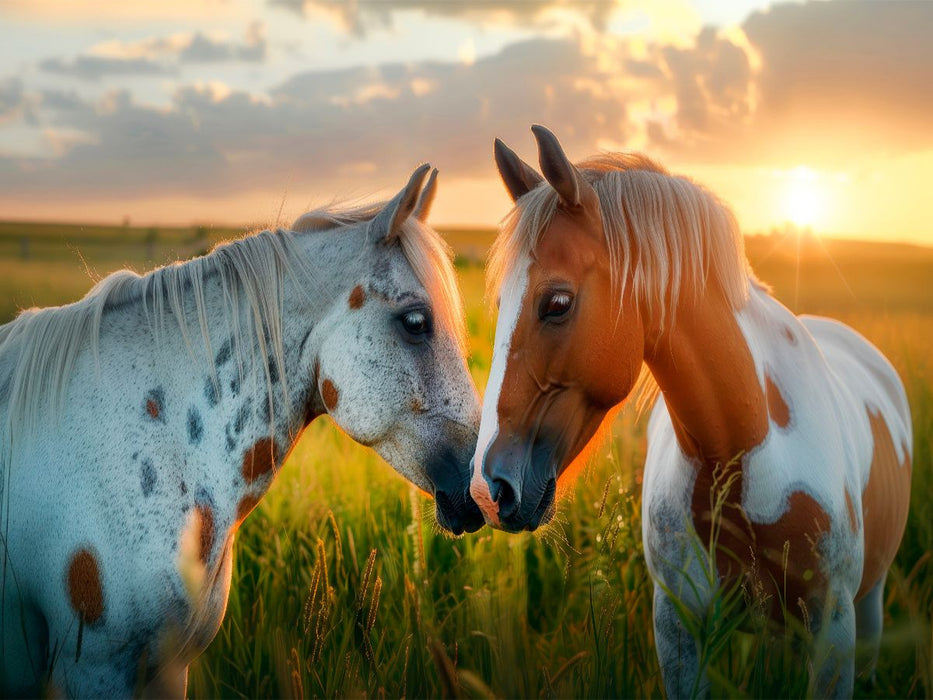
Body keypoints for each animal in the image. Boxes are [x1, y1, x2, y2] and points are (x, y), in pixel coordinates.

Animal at [469, 125, 912, 697]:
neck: (743, 454)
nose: (487, 490)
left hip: (870, 603)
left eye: (557, 303)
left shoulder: (833, 628)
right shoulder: (679, 630)